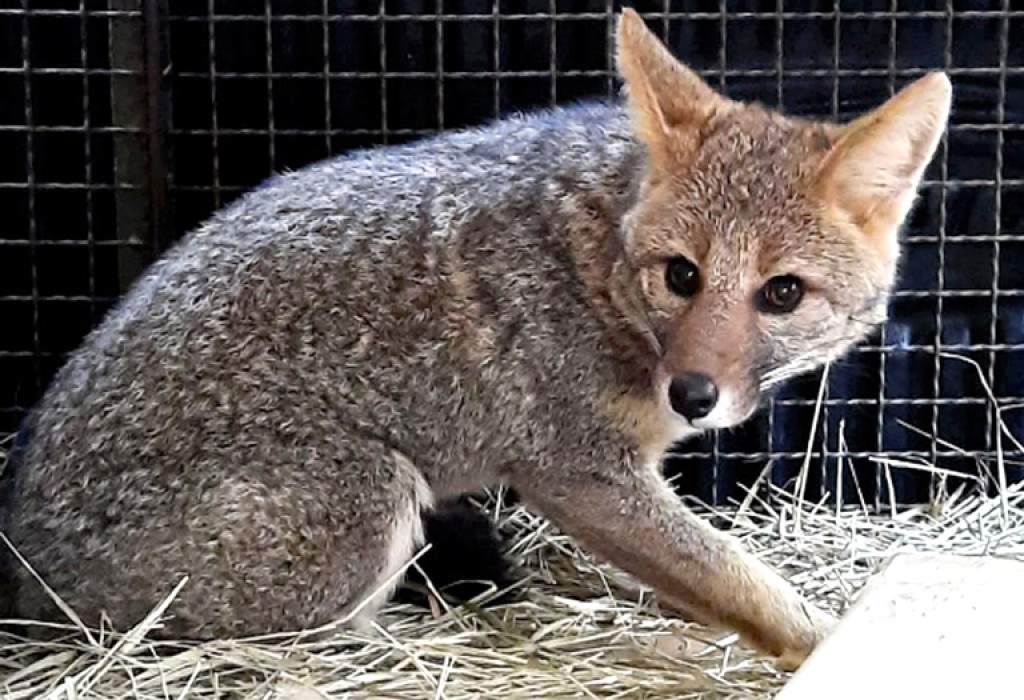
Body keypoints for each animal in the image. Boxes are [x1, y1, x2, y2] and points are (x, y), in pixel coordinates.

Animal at [0, 9, 950, 667]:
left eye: (781, 293)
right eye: (682, 275)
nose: (693, 395)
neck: (598, 262)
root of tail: (21, 550)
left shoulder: (600, 487)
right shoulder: (580, 472)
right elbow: (742, 583)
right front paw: (826, 639)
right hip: (371, 495)